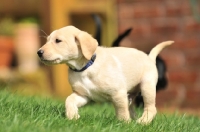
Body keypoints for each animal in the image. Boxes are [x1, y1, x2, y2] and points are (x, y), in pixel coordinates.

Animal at [37, 25, 173, 124]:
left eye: (58, 41)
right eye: (47, 40)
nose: (39, 52)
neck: (84, 68)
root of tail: (149, 57)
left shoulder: (118, 94)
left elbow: (121, 111)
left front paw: (124, 124)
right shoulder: (83, 95)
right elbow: (69, 100)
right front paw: (73, 116)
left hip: (147, 86)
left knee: (150, 107)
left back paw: (143, 121)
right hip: (131, 94)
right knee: (131, 108)